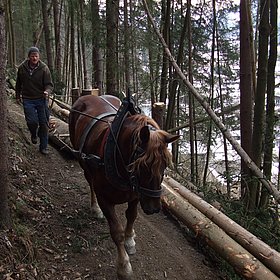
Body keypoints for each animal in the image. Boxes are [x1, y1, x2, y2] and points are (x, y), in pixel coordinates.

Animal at [69, 95, 179, 278]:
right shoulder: (105, 198)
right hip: (83, 161)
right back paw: (94, 208)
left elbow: (132, 216)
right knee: (90, 183)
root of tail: (88, 95)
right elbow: (116, 232)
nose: (153, 208)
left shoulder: (135, 195)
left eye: (165, 165)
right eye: (142, 166)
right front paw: (124, 266)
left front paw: (130, 239)